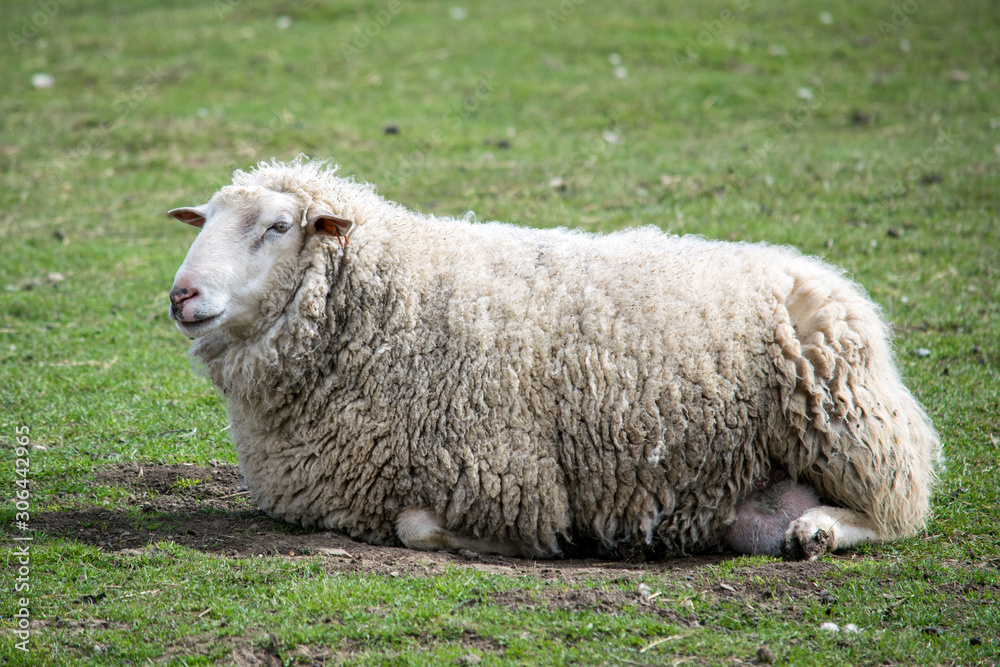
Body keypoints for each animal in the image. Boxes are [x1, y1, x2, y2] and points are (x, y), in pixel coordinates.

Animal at [168, 159, 940, 560]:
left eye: (278, 226)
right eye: (204, 222)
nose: (182, 294)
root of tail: (826, 276)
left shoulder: (511, 475)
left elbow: (421, 527)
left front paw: (493, 542)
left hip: (848, 427)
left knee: (897, 512)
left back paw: (817, 532)